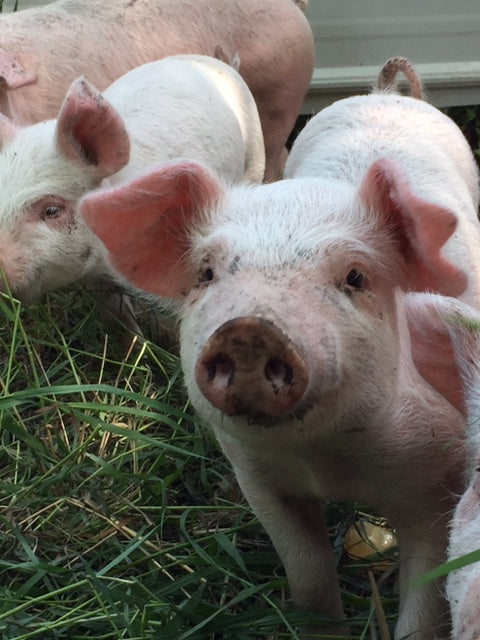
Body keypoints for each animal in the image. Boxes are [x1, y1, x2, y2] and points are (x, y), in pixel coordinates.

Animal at [79, 60, 480, 637]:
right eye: (207, 272)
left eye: (355, 277)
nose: (249, 329)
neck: (328, 460)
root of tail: (386, 94)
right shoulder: (259, 480)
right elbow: (308, 580)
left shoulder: (436, 486)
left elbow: (424, 606)